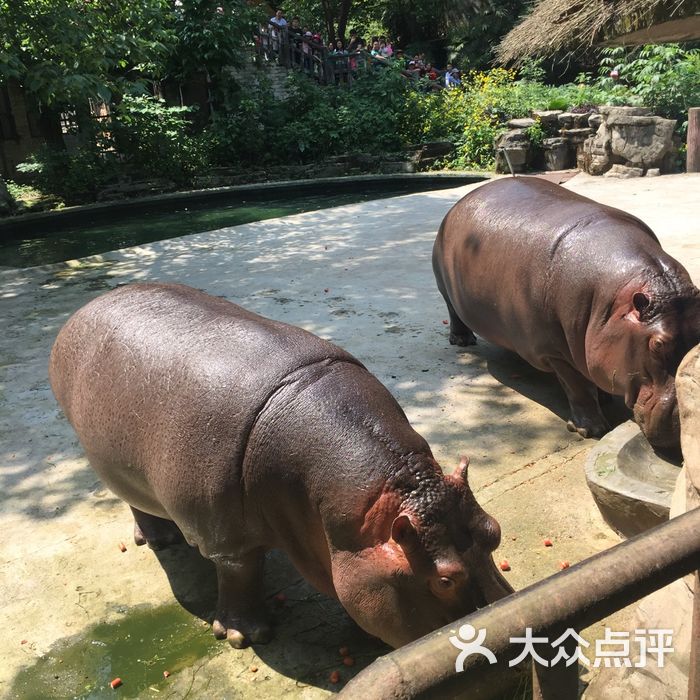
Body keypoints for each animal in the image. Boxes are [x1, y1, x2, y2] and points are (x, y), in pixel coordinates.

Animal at [47, 282, 508, 648]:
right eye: (444, 580)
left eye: (495, 532)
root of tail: (88, 308)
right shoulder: (225, 539)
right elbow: (241, 574)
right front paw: (244, 637)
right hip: (112, 466)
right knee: (136, 503)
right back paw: (159, 540)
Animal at [432, 175, 700, 448]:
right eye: (657, 345)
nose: (684, 425)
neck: (610, 302)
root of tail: (466, 197)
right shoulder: (554, 352)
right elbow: (576, 386)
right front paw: (591, 429)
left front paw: (604, 397)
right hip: (443, 285)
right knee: (453, 311)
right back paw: (463, 341)